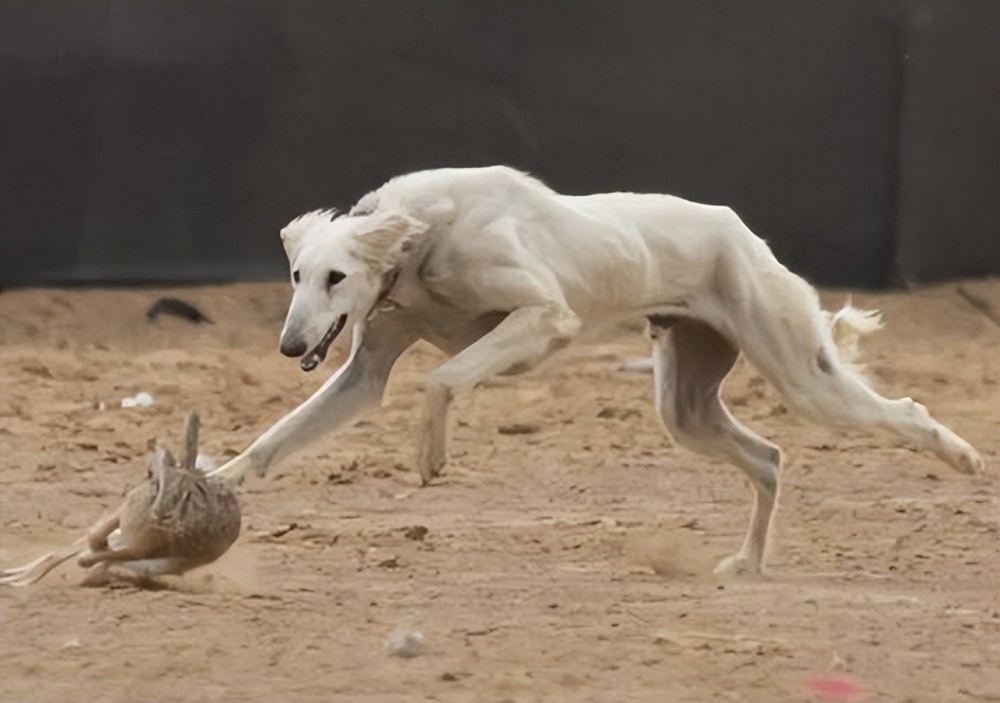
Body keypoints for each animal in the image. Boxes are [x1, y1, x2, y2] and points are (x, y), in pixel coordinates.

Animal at [207, 168, 980, 576]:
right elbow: (272, 442)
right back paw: (745, 564)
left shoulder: (546, 318)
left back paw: (965, 459)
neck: (421, 241)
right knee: (768, 457)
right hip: (685, 405)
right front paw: (216, 480)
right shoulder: (364, 372)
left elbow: (443, 379)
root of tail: (740, 230)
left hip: (802, 375)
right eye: (297, 275)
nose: (290, 345)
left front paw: (430, 456)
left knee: (902, 411)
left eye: (337, 277)